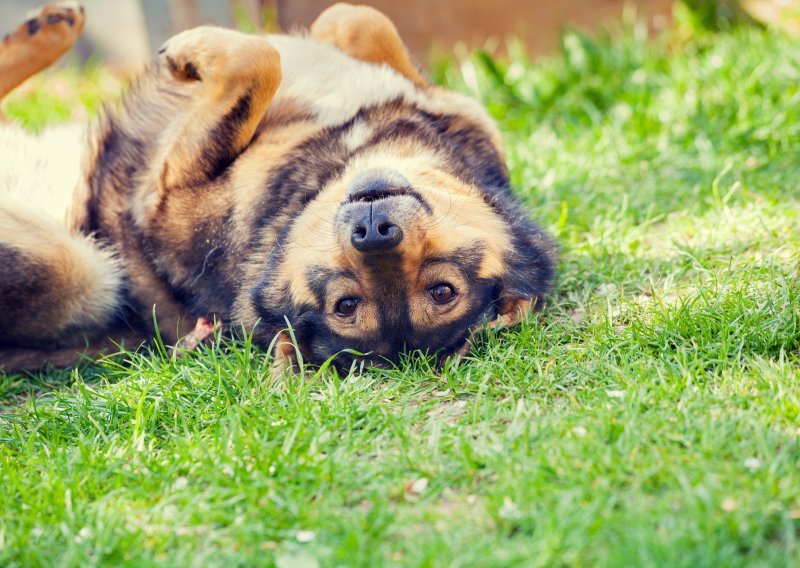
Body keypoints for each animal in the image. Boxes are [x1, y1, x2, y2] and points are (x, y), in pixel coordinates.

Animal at [0, 3, 556, 378]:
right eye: (347, 305)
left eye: (442, 291)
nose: (374, 231)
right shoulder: (460, 113)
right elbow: (355, 22)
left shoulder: (163, 193)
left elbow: (260, 60)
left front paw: (189, 53)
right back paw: (46, 28)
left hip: (81, 272)